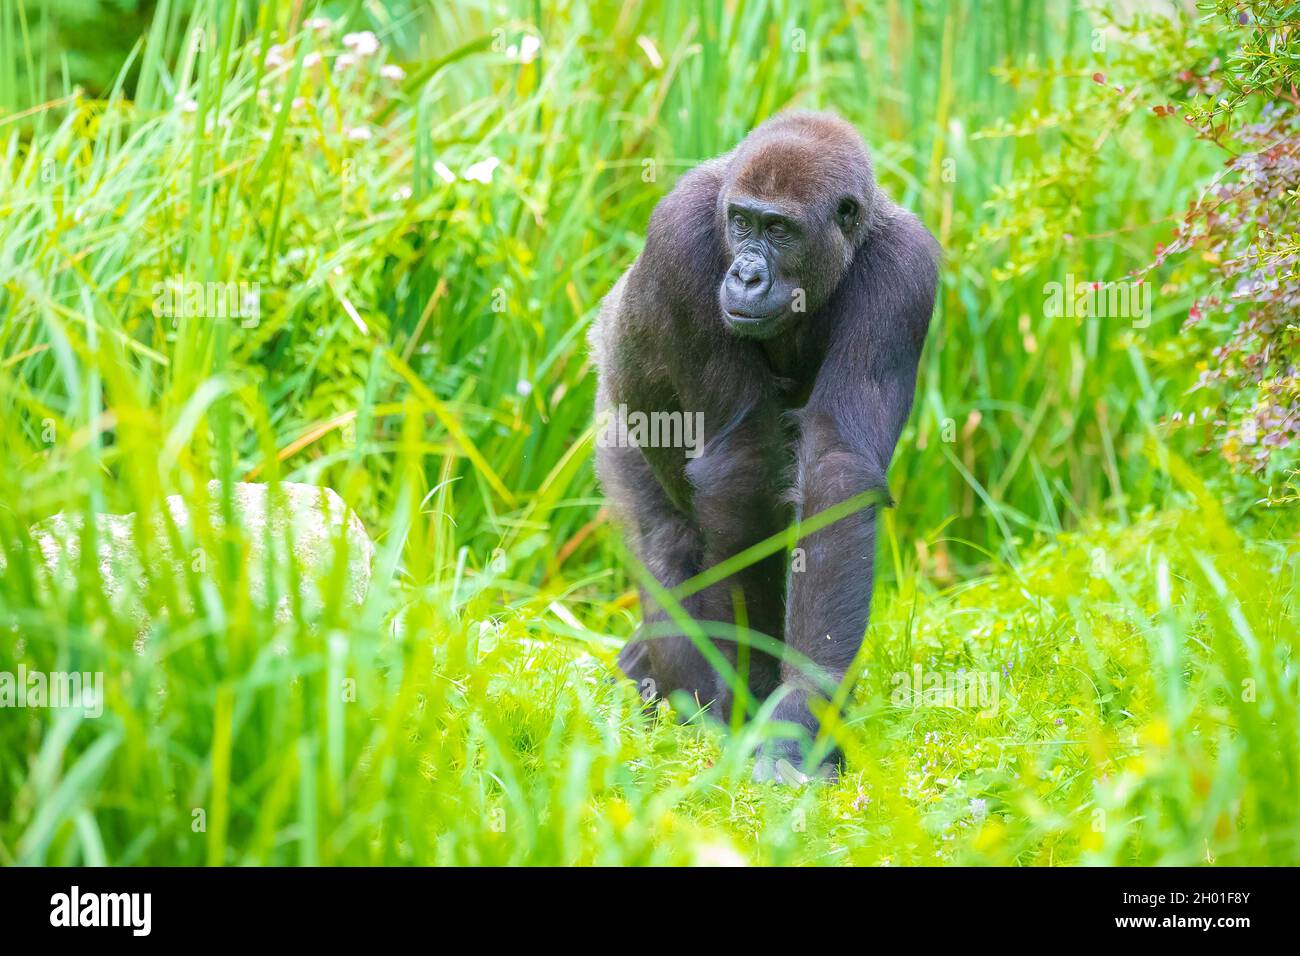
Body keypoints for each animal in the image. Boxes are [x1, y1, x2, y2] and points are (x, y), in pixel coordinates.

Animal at [595, 111, 941, 780]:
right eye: (742, 223)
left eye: (779, 231)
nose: (747, 275)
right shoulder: (680, 238)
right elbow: (744, 471)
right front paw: (756, 698)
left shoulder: (906, 269)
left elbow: (835, 467)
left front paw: (804, 706)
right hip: (616, 420)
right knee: (669, 545)